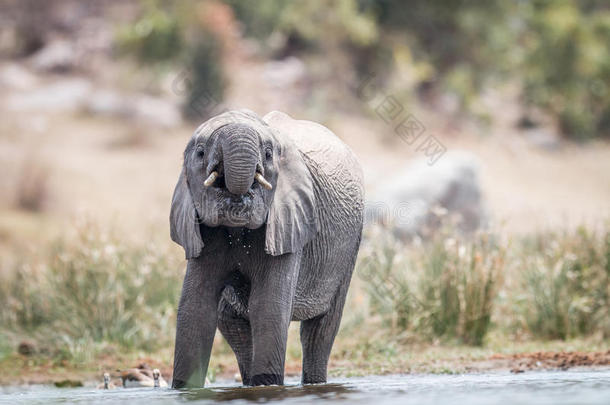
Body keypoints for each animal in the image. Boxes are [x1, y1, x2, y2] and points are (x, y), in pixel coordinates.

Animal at [169, 109, 364, 386]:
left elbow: (268, 307)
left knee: (320, 329)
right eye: (200, 152)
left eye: (269, 154)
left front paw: (269, 385)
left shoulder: (289, 223)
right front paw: (184, 390)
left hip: (350, 244)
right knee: (233, 323)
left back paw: (313, 382)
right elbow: (194, 309)